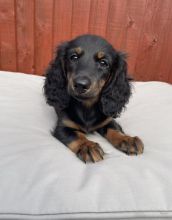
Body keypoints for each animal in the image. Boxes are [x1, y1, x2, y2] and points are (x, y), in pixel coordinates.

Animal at [43, 34, 143, 162]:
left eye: (104, 63)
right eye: (73, 57)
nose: (80, 85)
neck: (86, 106)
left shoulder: (107, 120)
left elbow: (114, 129)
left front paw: (127, 139)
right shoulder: (63, 127)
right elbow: (76, 135)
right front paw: (87, 146)